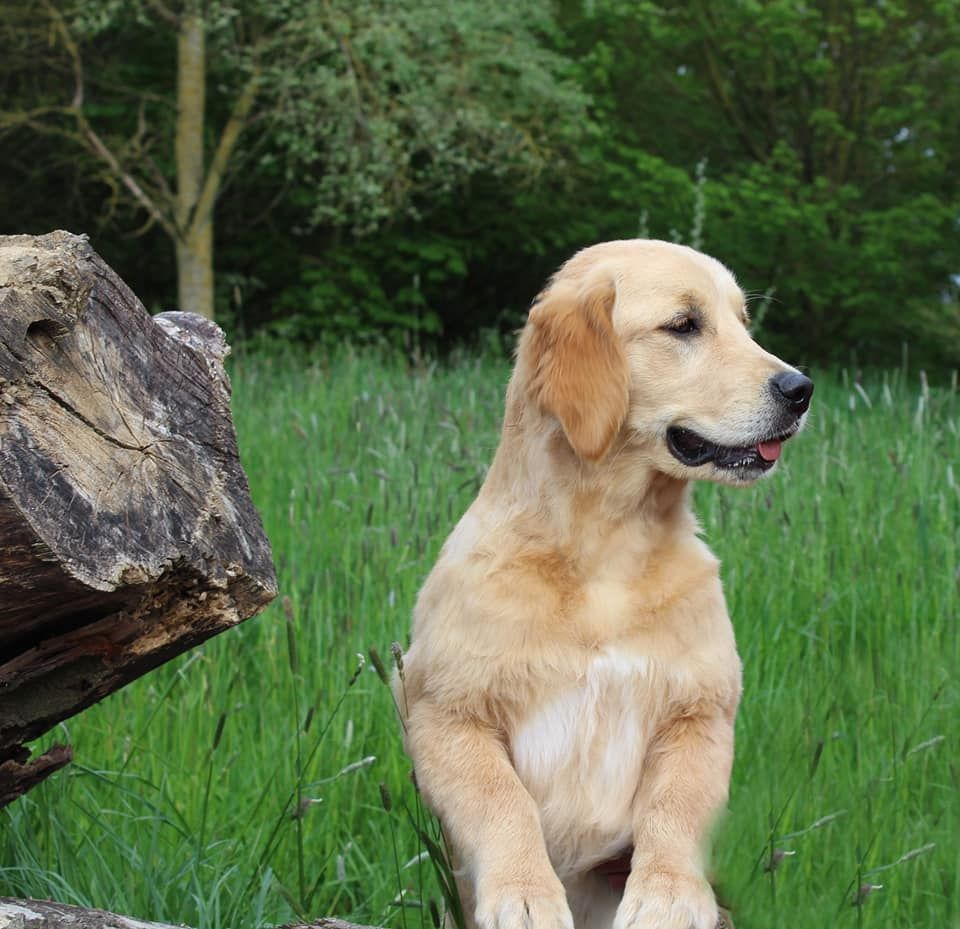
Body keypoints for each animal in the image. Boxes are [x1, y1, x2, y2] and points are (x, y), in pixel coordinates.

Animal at [396, 239, 808, 928]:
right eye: (684, 325)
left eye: (743, 322)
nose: (801, 389)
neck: (605, 550)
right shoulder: (445, 712)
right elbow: (502, 800)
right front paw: (525, 894)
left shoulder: (699, 713)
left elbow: (676, 807)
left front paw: (668, 895)